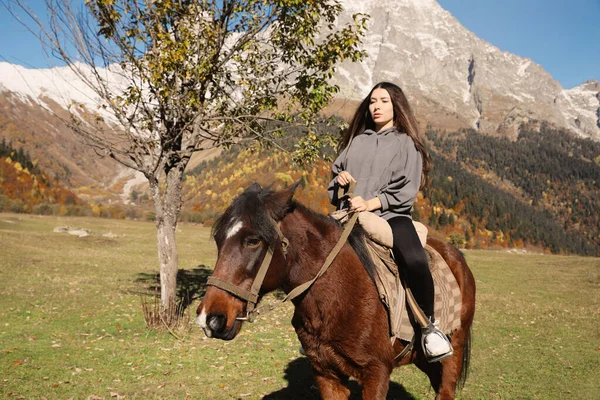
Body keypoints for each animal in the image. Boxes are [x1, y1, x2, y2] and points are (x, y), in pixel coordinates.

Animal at [197, 183, 474, 398]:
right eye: (218, 240)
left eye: (253, 240)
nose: (209, 319)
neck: (337, 297)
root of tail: (456, 255)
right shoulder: (326, 373)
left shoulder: (376, 373)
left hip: (453, 353)